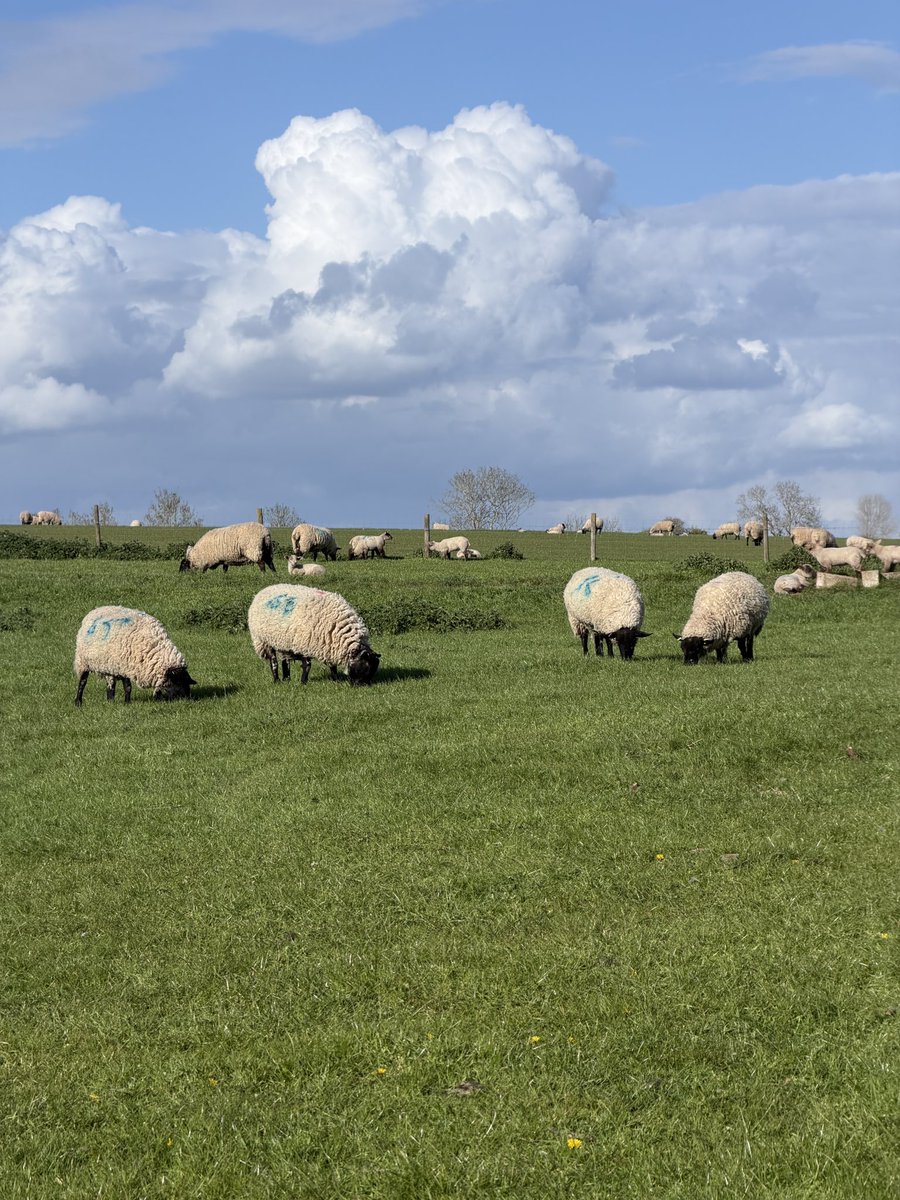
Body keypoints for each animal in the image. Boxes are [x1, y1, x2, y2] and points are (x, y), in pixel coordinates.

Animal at [248, 584, 380, 686]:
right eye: (364, 667)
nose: (361, 686)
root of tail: (264, 589)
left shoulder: (329, 644)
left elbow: (332, 665)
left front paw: (335, 679)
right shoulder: (305, 643)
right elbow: (307, 665)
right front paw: (303, 682)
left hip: (283, 641)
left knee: (285, 661)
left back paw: (287, 679)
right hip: (264, 640)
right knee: (273, 662)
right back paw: (277, 680)